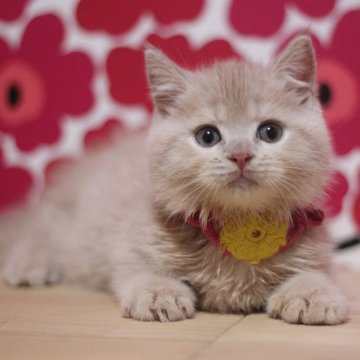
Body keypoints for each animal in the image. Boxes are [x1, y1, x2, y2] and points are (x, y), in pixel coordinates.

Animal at [0, 35, 348, 324]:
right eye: (207, 136)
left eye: (270, 131)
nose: (240, 155)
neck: (238, 223)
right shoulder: (131, 245)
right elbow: (140, 271)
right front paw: (157, 293)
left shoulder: (313, 247)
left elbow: (313, 273)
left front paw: (312, 294)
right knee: (36, 231)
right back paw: (29, 265)